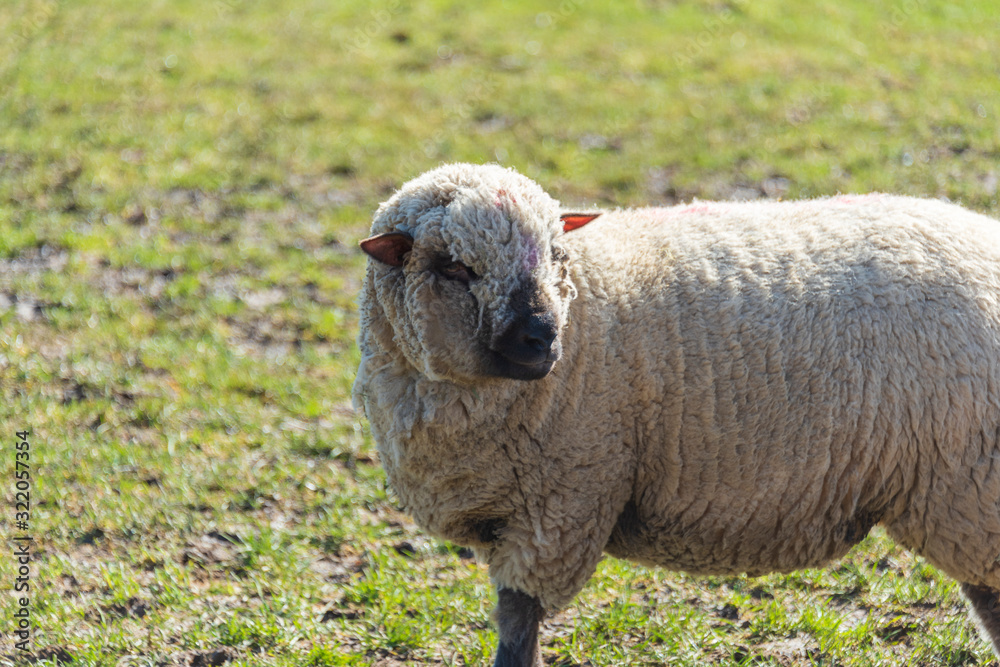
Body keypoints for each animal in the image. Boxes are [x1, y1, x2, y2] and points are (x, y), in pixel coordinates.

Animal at [353, 162, 1000, 666]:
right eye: (454, 268)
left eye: (558, 255)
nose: (541, 341)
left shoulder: (559, 507)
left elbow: (517, 626)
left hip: (972, 488)